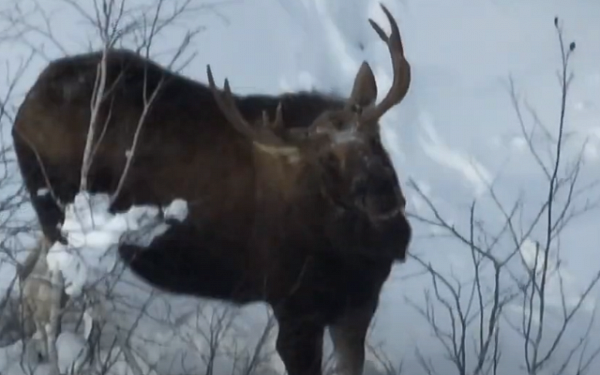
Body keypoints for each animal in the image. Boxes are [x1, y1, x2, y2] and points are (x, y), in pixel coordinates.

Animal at [10, 3, 412, 375]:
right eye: (326, 159)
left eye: (374, 138)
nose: (382, 193)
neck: (356, 254)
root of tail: (22, 110)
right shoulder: (296, 310)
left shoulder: (359, 305)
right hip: (63, 220)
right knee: (52, 295)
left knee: (26, 273)